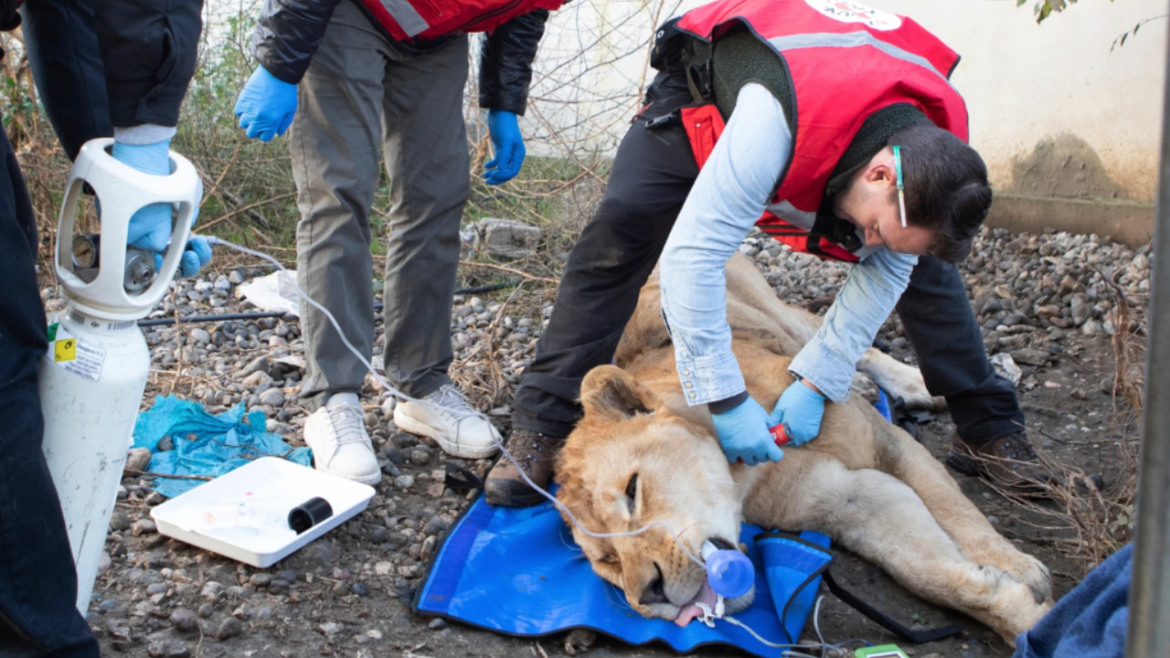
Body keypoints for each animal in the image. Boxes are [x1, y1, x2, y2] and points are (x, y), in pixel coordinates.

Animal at [554, 253, 1053, 645]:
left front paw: (1018, 568)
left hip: (776, 308)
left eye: (633, 491)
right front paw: (1027, 619)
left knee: (840, 337)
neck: (746, 473)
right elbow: (926, 570)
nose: (648, 594)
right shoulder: (848, 498)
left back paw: (907, 384)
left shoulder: (888, 444)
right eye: (607, 561)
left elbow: (956, 510)